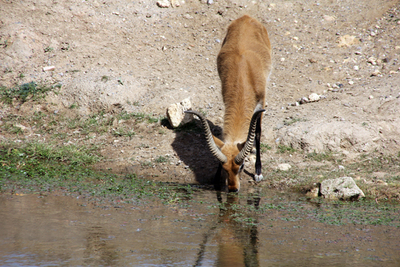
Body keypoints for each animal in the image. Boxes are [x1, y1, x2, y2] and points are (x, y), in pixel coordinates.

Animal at [187, 15, 274, 193]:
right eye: (224, 168)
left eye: (241, 167)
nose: (233, 189)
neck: (242, 78)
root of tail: (246, 17)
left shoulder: (261, 101)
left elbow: (258, 132)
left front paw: (258, 172)